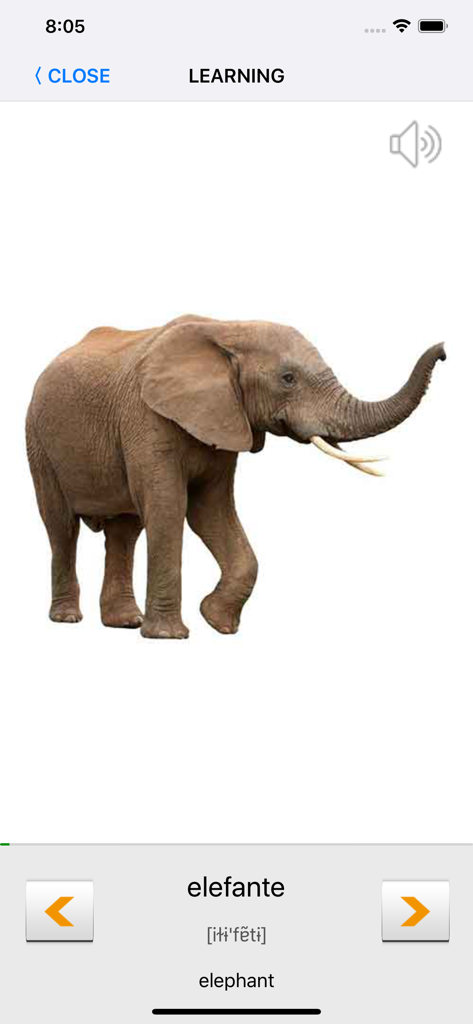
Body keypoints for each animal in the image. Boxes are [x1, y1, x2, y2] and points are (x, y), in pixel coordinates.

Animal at [26, 315, 445, 638]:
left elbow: (209, 511)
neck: (227, 328)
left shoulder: (225, 420)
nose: (443, 349)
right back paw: (68, 619)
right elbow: (168, 507)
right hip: (38, 442)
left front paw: (217, 623)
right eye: (288, 378)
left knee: (123, 531)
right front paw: (170, 637)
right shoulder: (147, 418)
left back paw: (125, 623)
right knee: (61, 526)